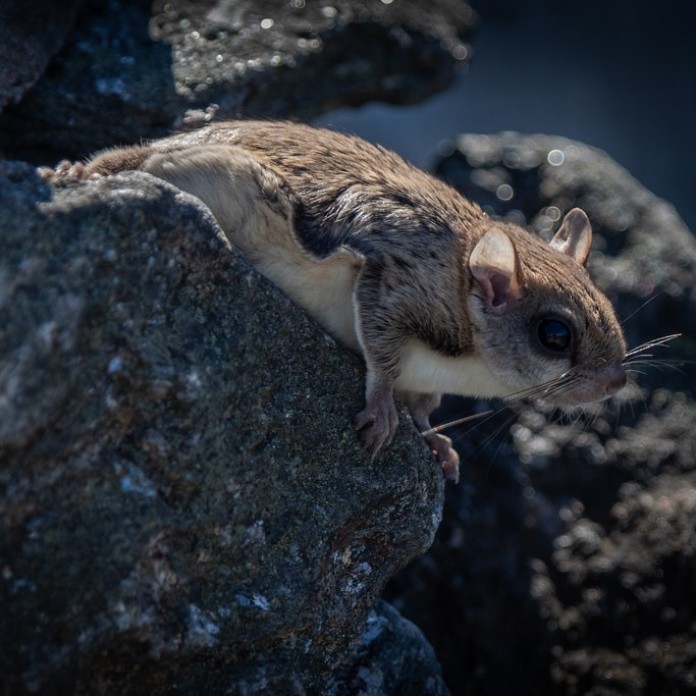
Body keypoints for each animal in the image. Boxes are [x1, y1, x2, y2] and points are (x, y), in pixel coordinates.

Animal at [43, 121, 632, 478]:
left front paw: (434, 442)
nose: (616, 382)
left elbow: (423, 407)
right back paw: (75, 172)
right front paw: (383, 411)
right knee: (123, 162)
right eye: (555, 335)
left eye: (610, 310)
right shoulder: (393, 280)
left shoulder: (428, 377)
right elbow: (383, 353)